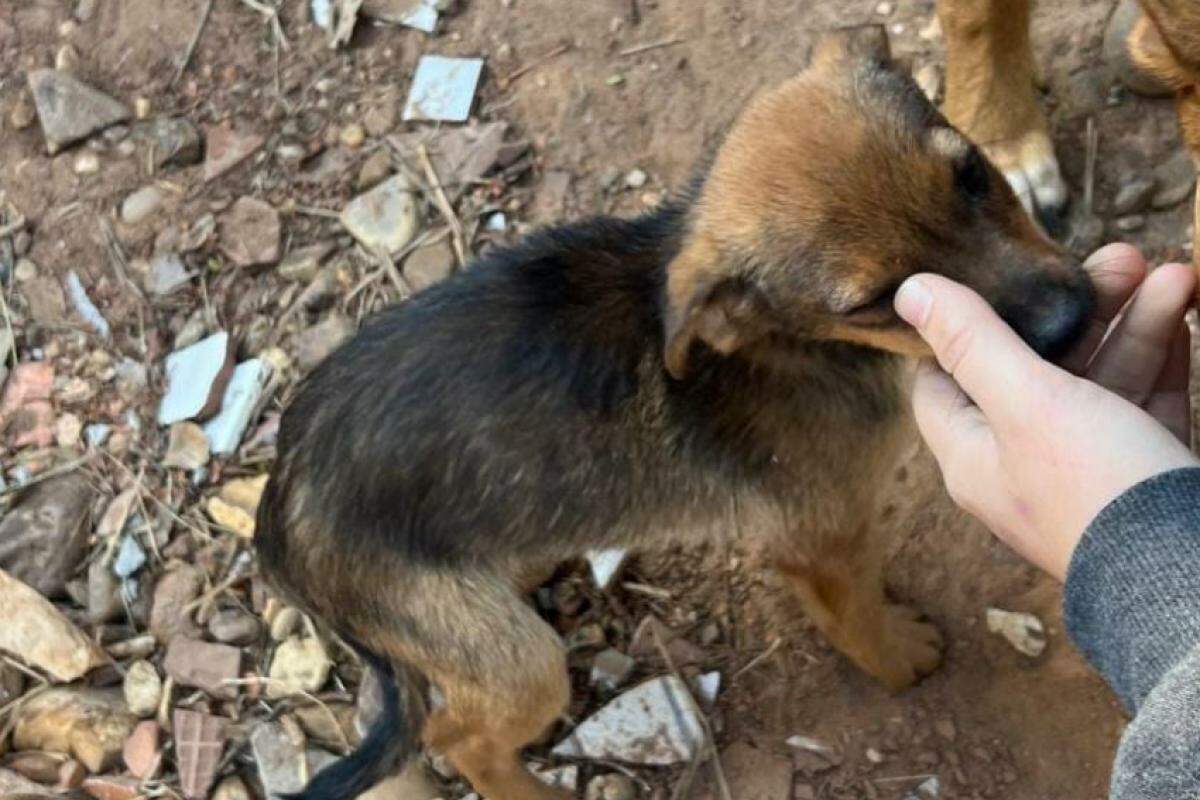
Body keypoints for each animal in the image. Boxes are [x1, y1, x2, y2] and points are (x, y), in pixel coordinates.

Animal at [255, 25, 1099, 800]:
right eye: (875, 301)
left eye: (972, 174)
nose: (1072, 324)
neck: (797, 349)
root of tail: (279, 515)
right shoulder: (818, 544)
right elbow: (855, 618)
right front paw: (897, 657)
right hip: (517, 662)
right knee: (456, 738)